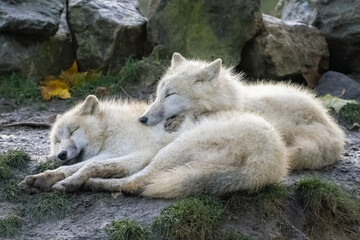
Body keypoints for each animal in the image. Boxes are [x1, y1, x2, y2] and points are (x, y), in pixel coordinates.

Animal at [20, 94, 290, 198]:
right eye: (56, 141)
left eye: (72, 131)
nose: (61, 154)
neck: (111, 129)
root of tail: (272, 161)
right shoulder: (111, 153)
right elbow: (71, 168)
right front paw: (41, 179)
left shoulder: (136, 155)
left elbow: (90, 167)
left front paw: (70, 183)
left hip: (171, 150)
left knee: (136, 183)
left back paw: (93, 185)